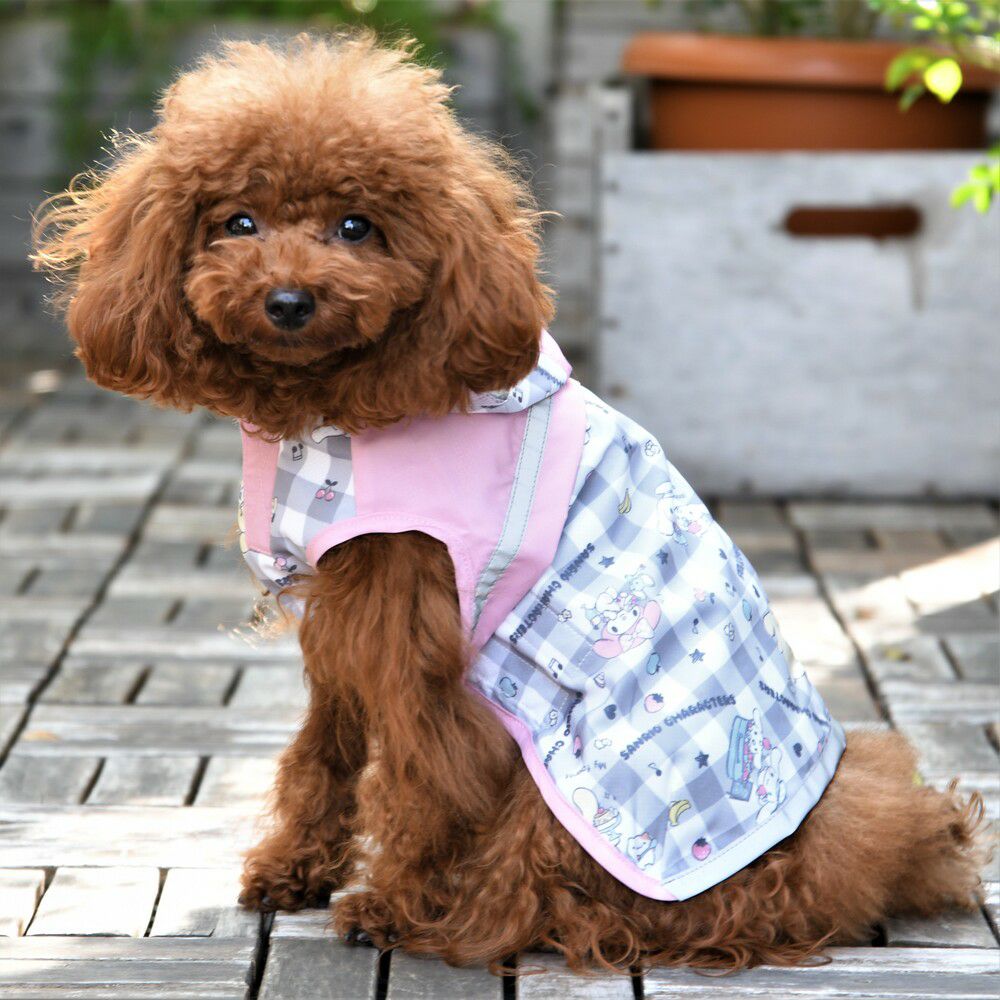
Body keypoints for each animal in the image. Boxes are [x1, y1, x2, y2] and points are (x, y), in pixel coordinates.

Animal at [32, 34, 986, 972]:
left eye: (356, 226)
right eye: (237, 221)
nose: (289, 301)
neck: (334, 409)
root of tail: (818, 865)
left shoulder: (410, 622)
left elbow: (418, 773)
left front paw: (391, 897)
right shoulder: (343, 610)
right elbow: (326, 744)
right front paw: (291, 870)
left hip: (577, 784)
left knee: (539, 897)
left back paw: (431, 918)